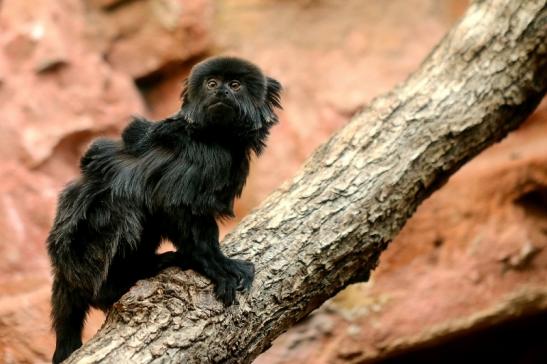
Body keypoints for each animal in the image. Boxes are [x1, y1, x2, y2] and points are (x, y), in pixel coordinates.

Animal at [47, 57, 282, 364]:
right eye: (212, 84)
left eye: (235, 85)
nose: (221, 93)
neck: (216, 137)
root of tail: (64, 271)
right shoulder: (204, 161)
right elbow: (174, 206)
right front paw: (218, 266)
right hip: (88, 252)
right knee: (123, 208)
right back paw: (125, 281)